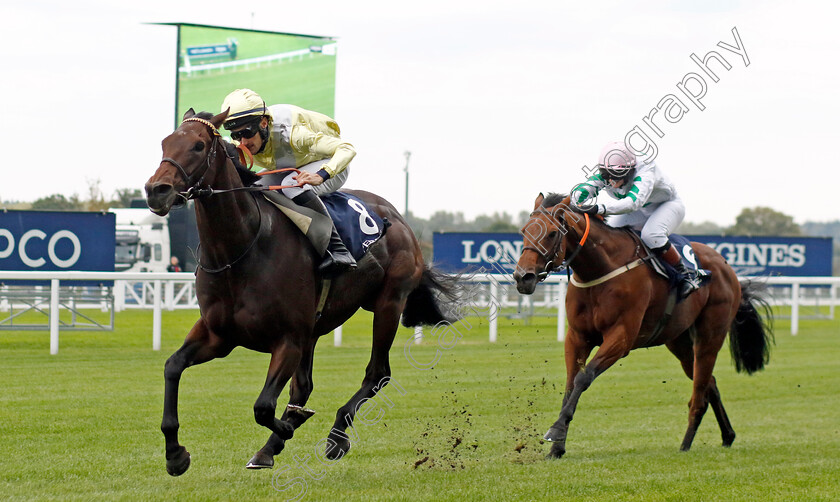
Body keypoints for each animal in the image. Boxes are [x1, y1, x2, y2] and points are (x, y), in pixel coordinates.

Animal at [146, 110, 460, 474]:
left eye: (198, 146)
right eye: (165, 142)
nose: (156, 190)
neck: (241, 250)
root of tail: (398, 218)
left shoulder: (288, 339)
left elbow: (263, 406)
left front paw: (289, 426)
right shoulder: (219, 335)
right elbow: (172, 366)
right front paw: (175, 454)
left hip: (388, 304)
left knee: (377, 373)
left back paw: (336, 436)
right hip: (316, 328)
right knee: (304, 386)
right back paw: (272, 446)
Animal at [508, 193, 772, 458]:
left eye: (553, 233)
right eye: (524, 230)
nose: (523, 277)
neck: (600, 270)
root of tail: (727, 267)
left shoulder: (621, 337)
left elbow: (584, 378)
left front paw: (554, 432)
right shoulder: (578, 337)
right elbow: (571, 384)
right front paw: (557, 448)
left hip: (710, 336)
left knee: (699, 393)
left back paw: (686, 444)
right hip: (680, 342)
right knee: (710, 383)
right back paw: (727, 436)